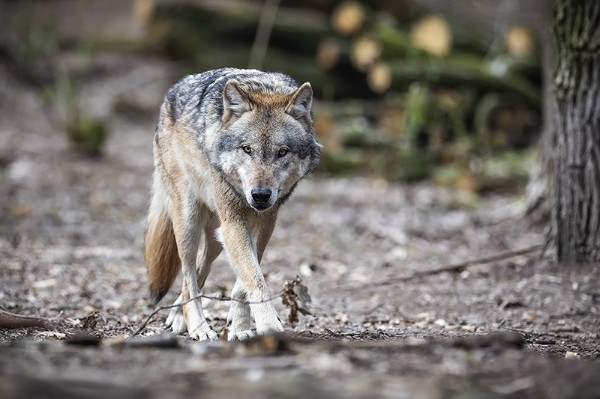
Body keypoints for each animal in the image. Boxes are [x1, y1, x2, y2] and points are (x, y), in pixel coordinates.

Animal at [144, 68, 322, 340]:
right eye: (247, 149)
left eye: (282, 152)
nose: (260, 195)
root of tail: (171, 93)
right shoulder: (233, 224)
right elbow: (255, 279)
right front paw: (268, 326)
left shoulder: (264, 223)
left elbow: (245, 281)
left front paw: (240, 327)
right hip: (189, 223)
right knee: (188, 276)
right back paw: (199, 327)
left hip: (217, 237)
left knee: (199, 272)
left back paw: (178, 316)